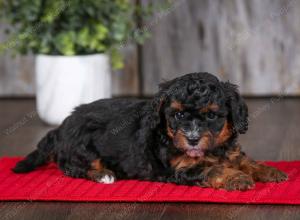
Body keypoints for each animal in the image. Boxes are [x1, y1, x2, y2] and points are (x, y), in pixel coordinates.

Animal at [13, 72, 288, 191]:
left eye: (211, 115)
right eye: (178, 115)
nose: (192, 139)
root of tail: (62, 126)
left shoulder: (231, 151)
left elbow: (245, 161)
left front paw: (269, 171)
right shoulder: (182, 167)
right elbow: (214, 169)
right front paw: (237, 178)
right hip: (82, 147)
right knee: (73, 167)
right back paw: (104, 174)